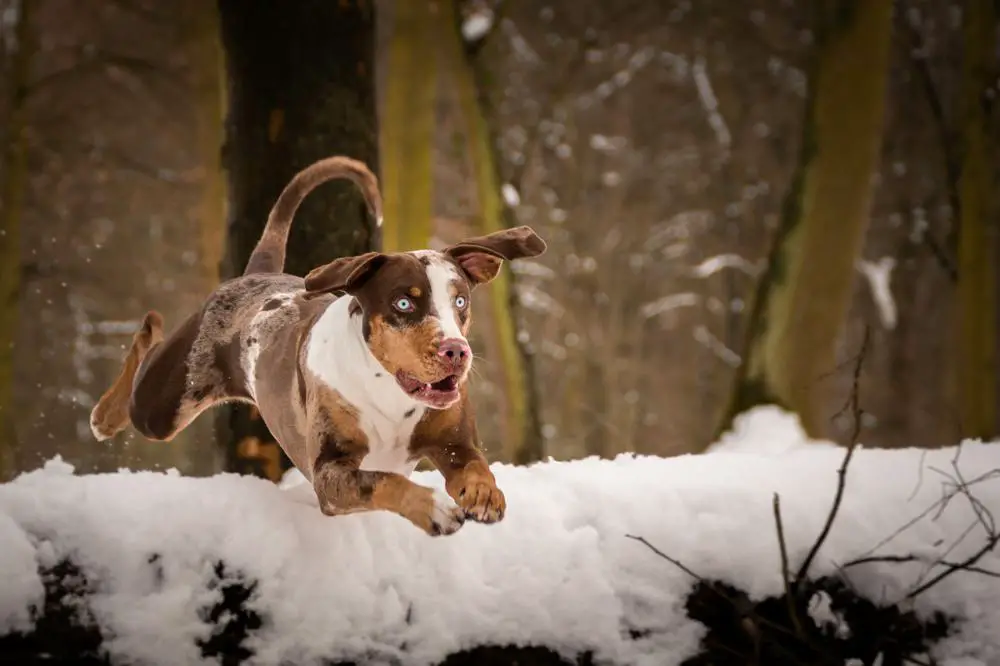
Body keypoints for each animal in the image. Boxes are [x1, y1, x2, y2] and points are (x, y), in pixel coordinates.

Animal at [90, 154, 548, 536]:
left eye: (460, 301)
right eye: (403, 302)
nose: (455, 351)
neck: (390, 394)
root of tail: (253, 275)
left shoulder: (455, 442)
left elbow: (474, 465)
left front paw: (484, 493)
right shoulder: (331, 473)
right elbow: (383, 481)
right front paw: (431, 507)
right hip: (166, 403)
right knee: (143, 357)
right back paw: (109, 406)